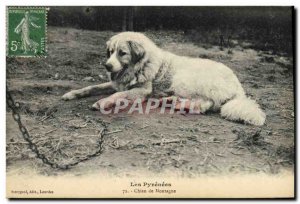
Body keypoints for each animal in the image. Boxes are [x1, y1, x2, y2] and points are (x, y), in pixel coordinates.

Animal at [62, 31, 266, 126]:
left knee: (206, 104)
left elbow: (117, 96)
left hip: (184, 78)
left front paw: (102, 102)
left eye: (122, 53)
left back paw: (174, 102)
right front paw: (72, 94)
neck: (142, 64)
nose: (107, 66)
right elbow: (93, 87)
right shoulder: (117, 84)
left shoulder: (142, 90)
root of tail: (238, 85)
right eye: (110, 52)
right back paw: (170, 101)